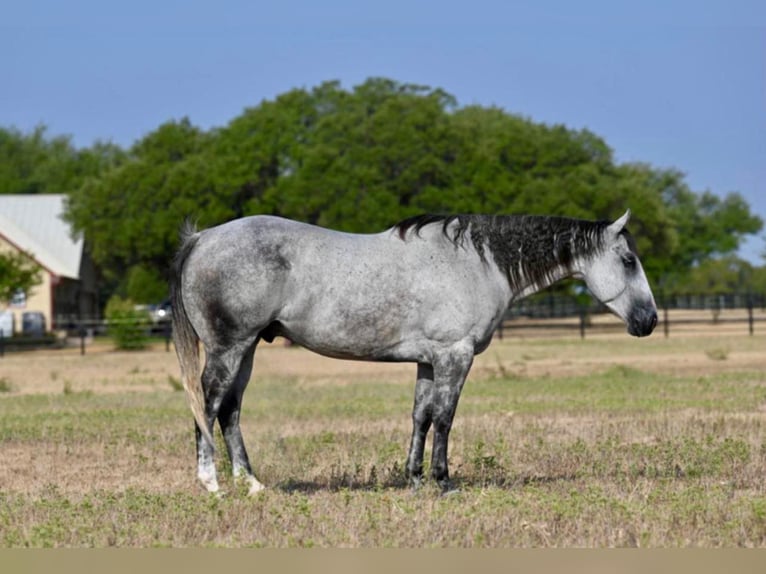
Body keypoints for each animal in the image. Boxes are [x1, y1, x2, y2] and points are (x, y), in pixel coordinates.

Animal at [172, 212, 660, 496]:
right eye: (629, 260)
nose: (650, 320)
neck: (477, 263)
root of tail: (203, 238)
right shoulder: (454, 356)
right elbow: (445, 417)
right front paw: (443, 482)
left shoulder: (428, 361)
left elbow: (421, 417)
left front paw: (415, 478)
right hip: (229, 348)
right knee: (208, 404)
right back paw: (211, 483)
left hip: (249, 349)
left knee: (230, 411)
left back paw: (251, 483)